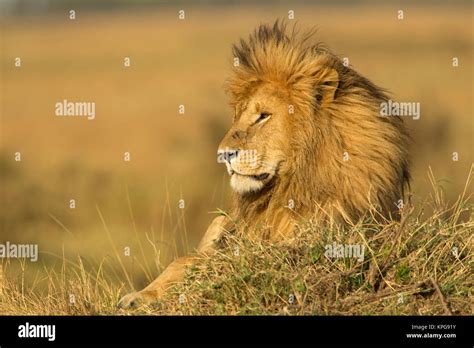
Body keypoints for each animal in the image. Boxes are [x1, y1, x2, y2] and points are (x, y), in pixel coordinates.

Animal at [117, 21, 408, 308]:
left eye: (263, 116)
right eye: (239, 114)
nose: (223, 154)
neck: (294, 184)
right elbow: (187, 261)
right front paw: (138, 296)